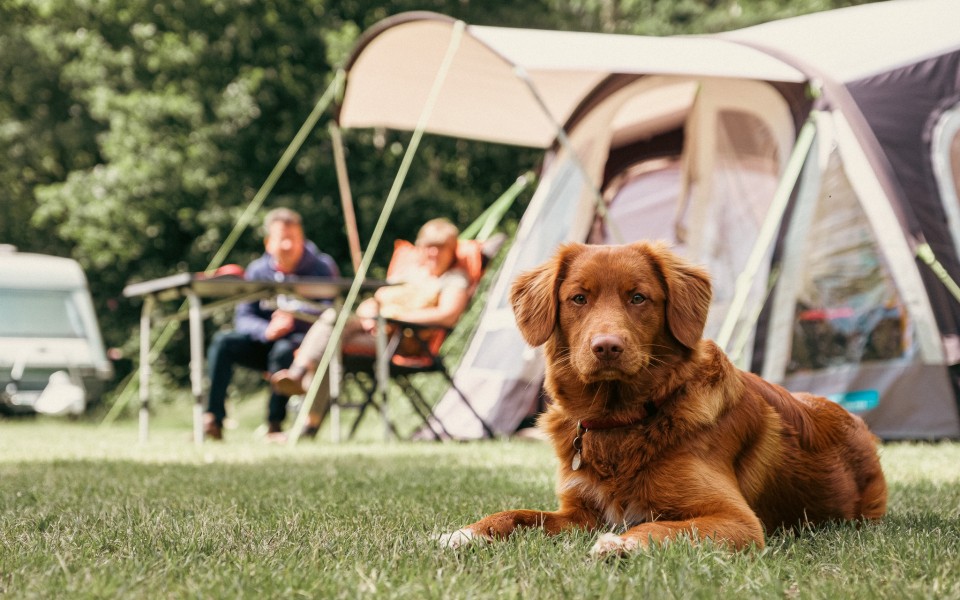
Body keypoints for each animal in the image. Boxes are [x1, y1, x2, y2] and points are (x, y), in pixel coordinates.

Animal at [440, 241, 884, 556]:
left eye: (638, 298)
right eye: (579, 298)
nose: (607, 347)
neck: (620, 421)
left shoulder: (737, 520)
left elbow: (661, 528)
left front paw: (621, 544)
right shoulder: (578, 513)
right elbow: (517, 514)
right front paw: (467, 532)